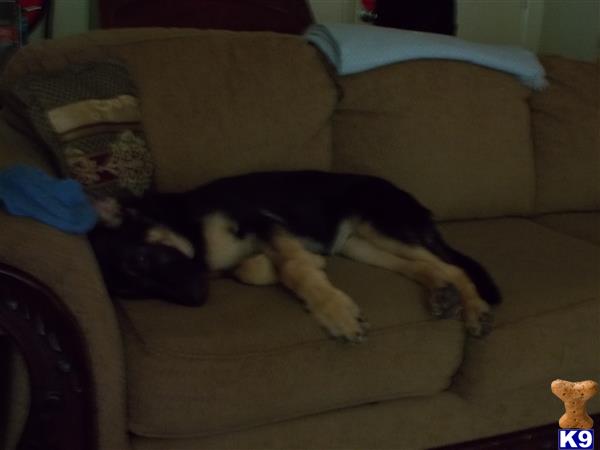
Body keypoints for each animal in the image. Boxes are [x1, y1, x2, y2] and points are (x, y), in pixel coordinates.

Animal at [90, 171, 502, 342]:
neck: (183, 221)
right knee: (424, 266)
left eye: (140, 261)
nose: (197, 299)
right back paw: (442, 293)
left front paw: (335, 313)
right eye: (133, 294)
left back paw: (473, 308)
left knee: (452, 266)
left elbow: (292, 268)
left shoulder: (263, 222)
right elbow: (251, 269)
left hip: (379, 226)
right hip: (360, 245)